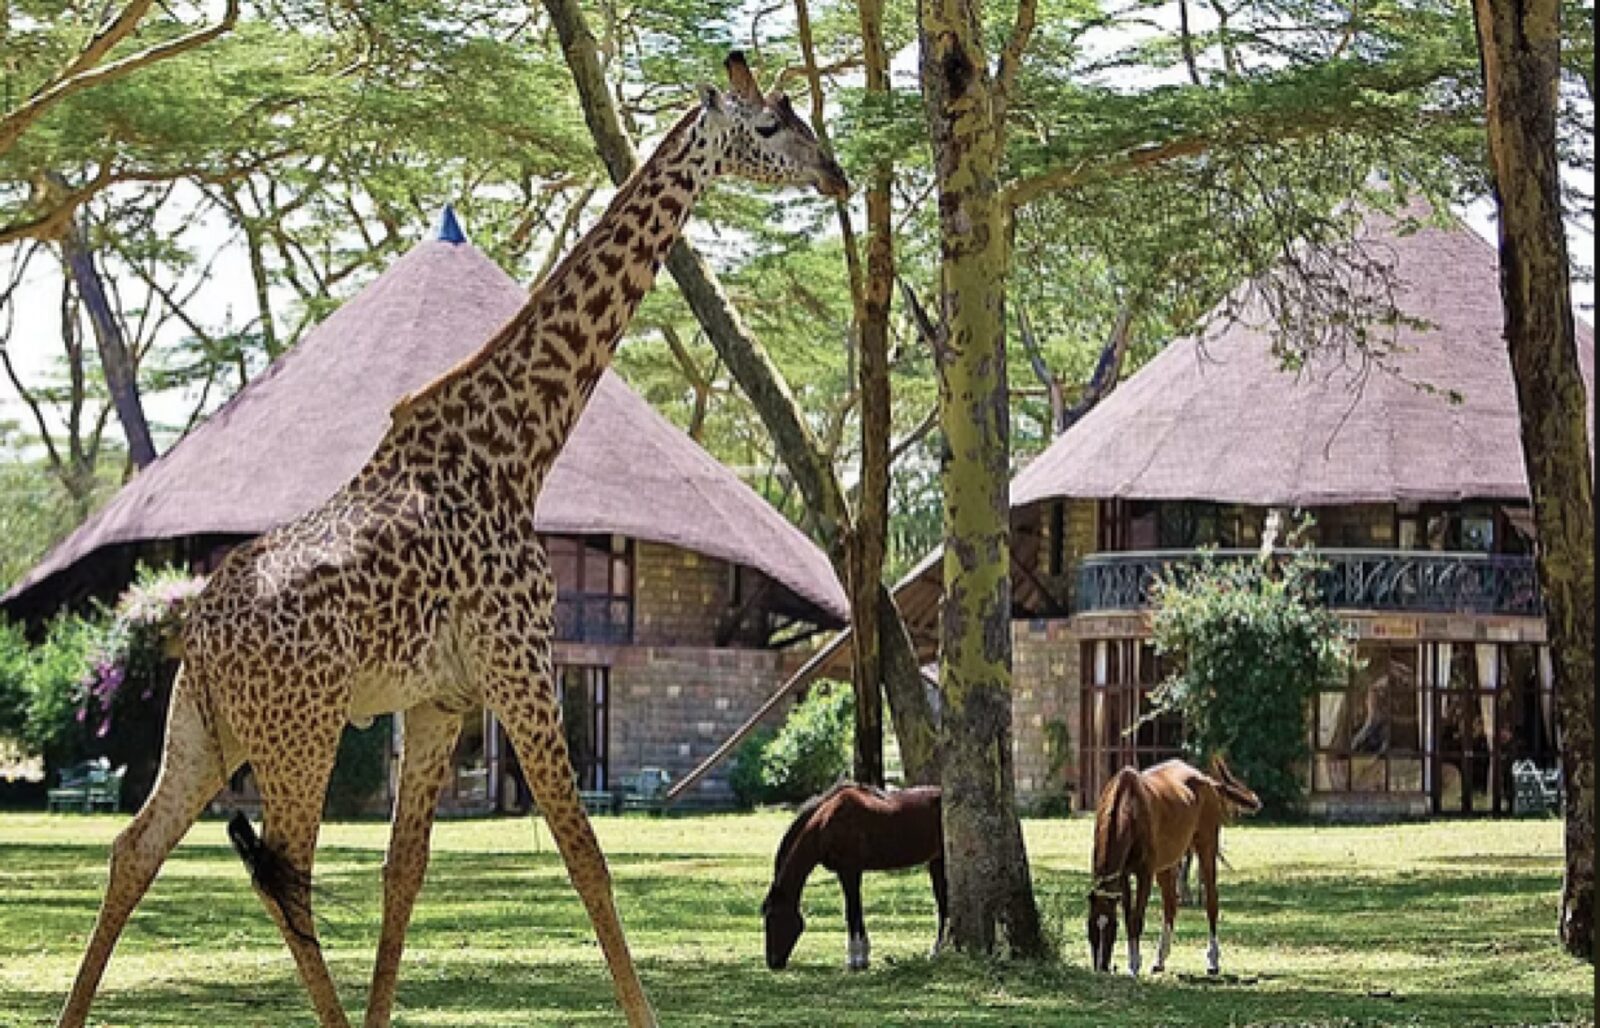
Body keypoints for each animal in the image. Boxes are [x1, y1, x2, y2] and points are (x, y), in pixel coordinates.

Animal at [55, 53, 847, 1028]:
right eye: (771, 125)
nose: (836, 174)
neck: (519, 449)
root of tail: (197, 635)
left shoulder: (441, 699)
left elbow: (405, 872)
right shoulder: (522, 662)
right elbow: (587, 858)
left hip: (202, 730)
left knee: (136, 849)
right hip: (299, 731)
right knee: (286, 873)